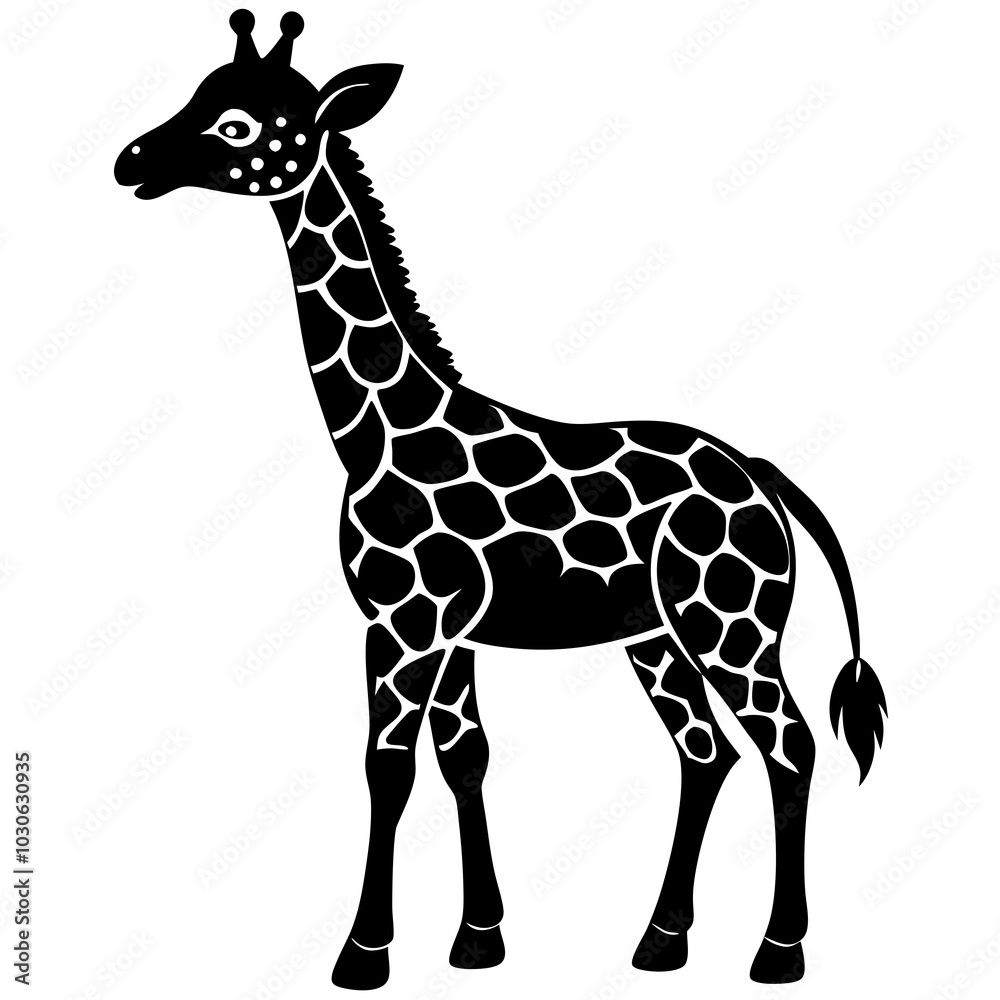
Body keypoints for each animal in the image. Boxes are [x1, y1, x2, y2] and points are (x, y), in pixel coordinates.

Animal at [114, 11, 887, 988]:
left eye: (237, 124)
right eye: (197, 95)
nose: (131, 161)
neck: (378, 432)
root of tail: (759, 474)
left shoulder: (405, 623)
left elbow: (388, 767)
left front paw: (363, 954)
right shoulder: (449, 631)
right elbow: (463, 758)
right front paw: (479, 939)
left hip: (731, 624)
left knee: (788, 745)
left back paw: (777, 953)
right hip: (655, 637)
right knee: (705, 753)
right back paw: (660, 941)